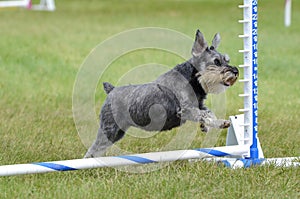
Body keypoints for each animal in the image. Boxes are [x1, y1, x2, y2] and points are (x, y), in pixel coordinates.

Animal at [84, 29, 239, 158]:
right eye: (216, 61)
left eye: (227, 60)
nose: (235, 71)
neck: (193, 79)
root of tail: (112, 90)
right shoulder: (185, 110)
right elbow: (204, 114)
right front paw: (217, 123)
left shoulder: (199, 105)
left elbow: (209, 113)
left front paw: (212, 124)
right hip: (109, 129)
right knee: (93, 150)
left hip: (117, 132)